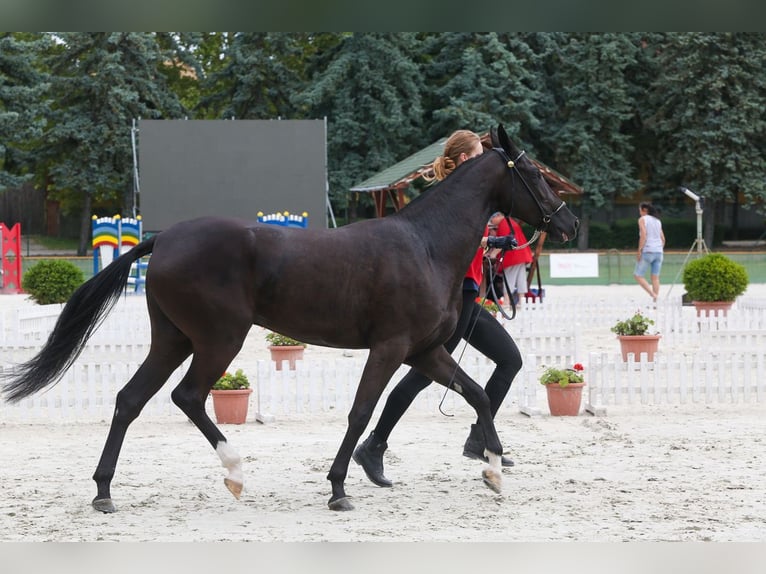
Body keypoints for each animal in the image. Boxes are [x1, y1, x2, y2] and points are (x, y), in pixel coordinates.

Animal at [0, 125, 576, 512]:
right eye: (531, 172)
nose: (567, 222)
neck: (425, 245)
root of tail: (163, 240)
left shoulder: (426, 351)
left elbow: (476, 394)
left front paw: (494, 471)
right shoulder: (390, 347)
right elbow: (361, 412)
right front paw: (339, 488)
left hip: (173, 340)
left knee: (129, 399)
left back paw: (104, 491)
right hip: (219, 340)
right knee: (186, 396)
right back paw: (235, 473)